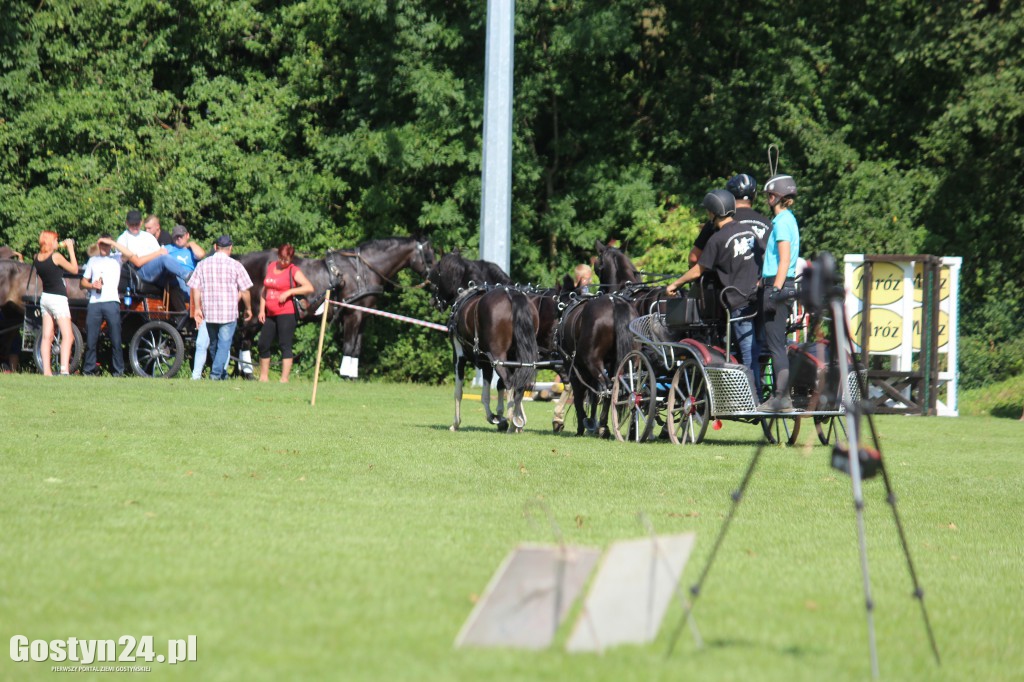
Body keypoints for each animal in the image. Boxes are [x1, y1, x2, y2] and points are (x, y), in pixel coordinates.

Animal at [236, 236, 436, 376]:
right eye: (429, 256)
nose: (434, 281)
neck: (363, 271)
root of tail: (243, 260)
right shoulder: (352, 315)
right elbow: (348, 346)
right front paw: (344, 375)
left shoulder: (363, 316)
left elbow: (356, 348)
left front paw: (352, 376)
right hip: (256, 314)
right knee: (244, 339)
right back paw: (247, 373)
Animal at [425, 249, 540, 430]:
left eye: (438, 272)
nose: (433, 301)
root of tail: (512, 295)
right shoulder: (486, 362)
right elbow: (486, 393)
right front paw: (498, 417)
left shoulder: (459, 357)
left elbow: (459, 391)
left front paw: (456, 423)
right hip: (517, 357)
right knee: (519, 382)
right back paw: (516, 420)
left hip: (499, 358)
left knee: (510, 381)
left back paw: (512, 420)